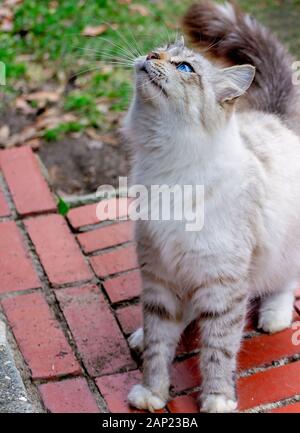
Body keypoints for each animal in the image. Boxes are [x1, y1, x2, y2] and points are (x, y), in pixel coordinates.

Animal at [121, 0, 300, 412]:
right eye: (159, 52)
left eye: (185, 68)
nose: (150, 57)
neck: (167, 164)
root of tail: (275, 117)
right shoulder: (159, 276)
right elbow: (158, 346)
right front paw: (152, 394)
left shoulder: (223, 288)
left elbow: (217, 351)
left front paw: (217, 399)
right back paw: (138, 335)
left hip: (283, 252)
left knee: (285, 283)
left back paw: (274, 316)